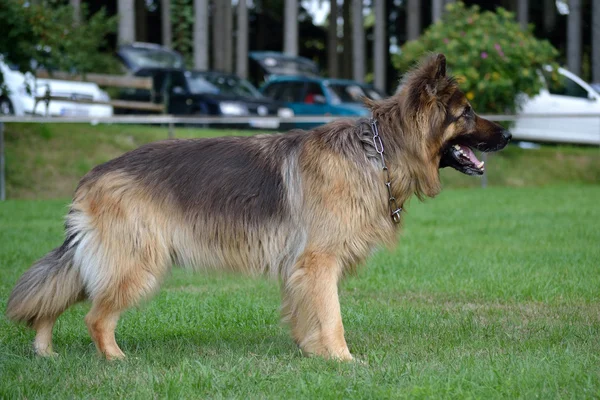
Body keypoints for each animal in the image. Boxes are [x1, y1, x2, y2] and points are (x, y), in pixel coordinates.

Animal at [4, 53, 510, 360]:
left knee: (55, 299)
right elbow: (334, 318)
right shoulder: (319, 262)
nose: (507, 135)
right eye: (466, 113)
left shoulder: (302, 269)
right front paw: (344, 361)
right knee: (95, 316)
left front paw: (314, 355)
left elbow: (310, 315)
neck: (379, 151)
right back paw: (115, 359)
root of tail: (92, 175)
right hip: (136, 264)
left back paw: (45, 351)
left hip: (106, 261)